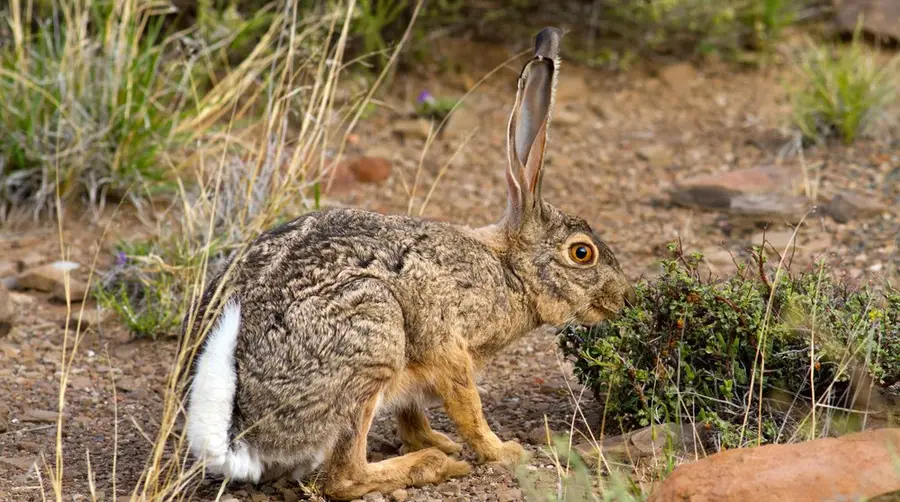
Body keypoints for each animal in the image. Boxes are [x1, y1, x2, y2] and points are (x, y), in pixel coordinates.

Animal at [183, 26, 634, 500]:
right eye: (582, 253)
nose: (625, 297)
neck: (508, 270)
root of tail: (237, 435)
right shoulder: (447, 346)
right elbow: (467, 406)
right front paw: (502, 452)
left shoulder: (417, 375)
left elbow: (412, 414)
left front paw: (436, 439)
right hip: (372, 340)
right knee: (344, 478)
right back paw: (436, 466)